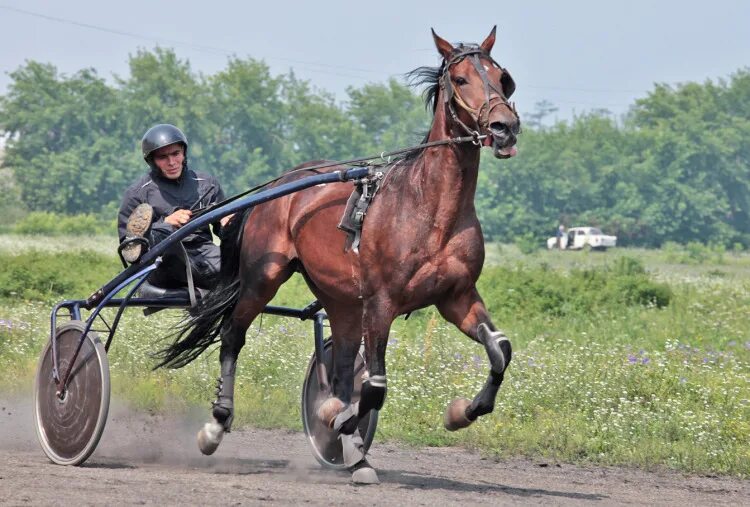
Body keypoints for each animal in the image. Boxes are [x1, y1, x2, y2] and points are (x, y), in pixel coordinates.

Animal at [159, 26, 524, 484]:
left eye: (503, 78)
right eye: (461, 79)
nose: (505, 126)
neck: (428, 207)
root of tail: (281, 184)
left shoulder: (456, 297)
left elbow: (500, 350)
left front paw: (461, 412)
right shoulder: (382, 301)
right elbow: (375, 386)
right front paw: (337, 418)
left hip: (341, 297)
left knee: (344, 360)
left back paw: (354, 450)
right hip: (263, 277)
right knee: (232, 335)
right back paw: (217, 425)